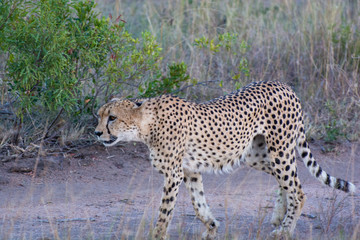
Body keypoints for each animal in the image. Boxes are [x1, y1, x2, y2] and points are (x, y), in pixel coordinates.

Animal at [94, 81, 356, 240]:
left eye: (112, 118)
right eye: (99, 116)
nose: (96, 133)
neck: (146, 124)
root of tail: (284, 85)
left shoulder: (174, 174)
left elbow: (165, 211)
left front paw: (158, 235)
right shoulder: (189, 171)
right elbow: (198, 204)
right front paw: (211, 227)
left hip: (279, 150)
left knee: (298, 190)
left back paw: (284, 229)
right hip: (255, 155)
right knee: (288, 181)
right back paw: (279, 215)